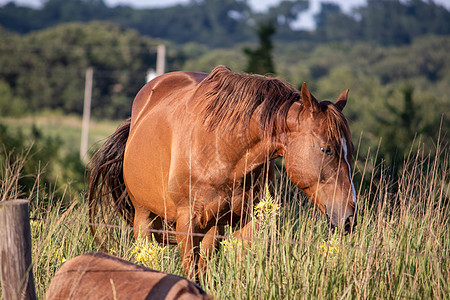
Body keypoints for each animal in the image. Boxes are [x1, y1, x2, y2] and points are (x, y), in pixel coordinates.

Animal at [89, 65, 356, 278]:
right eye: (326, 149)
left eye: (350, 151)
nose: (349, 217)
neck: (223, 148)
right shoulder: (187, 224)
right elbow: (192, 274)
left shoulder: (244, 222)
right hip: (144, 216)